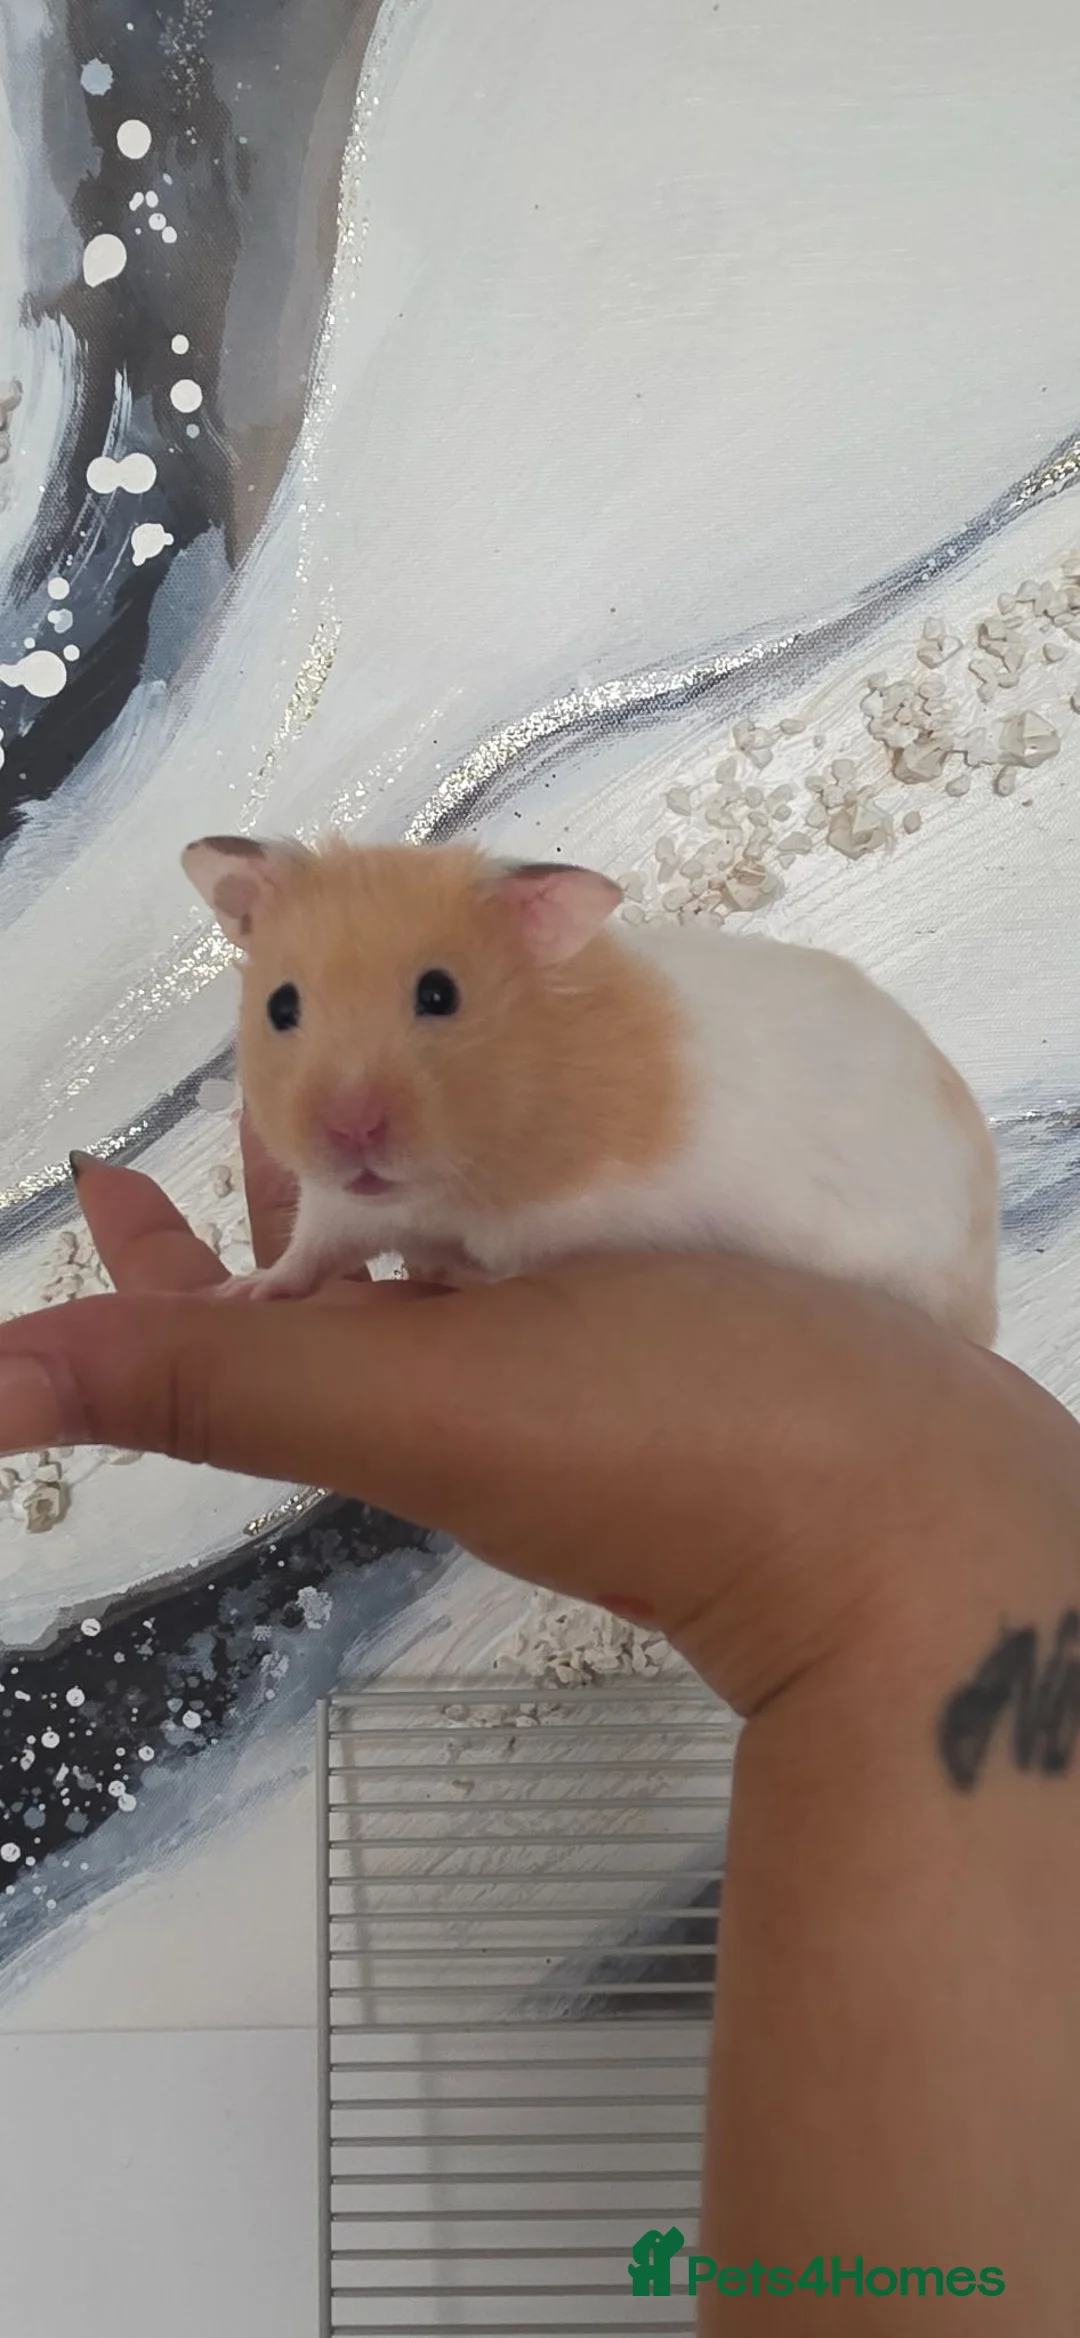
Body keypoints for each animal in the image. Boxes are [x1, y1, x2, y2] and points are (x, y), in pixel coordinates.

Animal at [181, 833, 998, 1344]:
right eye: (280, 1006)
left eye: (440, 994)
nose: (352, 1131)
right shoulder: (341, 1207)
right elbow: (306, 1254)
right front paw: (240, 1293)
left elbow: (492, 1266)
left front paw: (452, 1272)